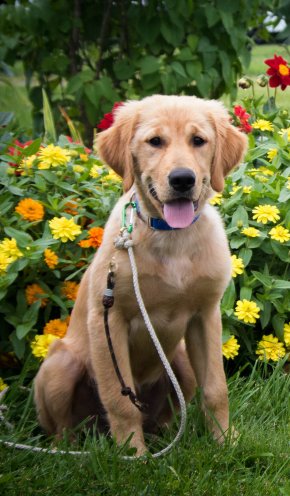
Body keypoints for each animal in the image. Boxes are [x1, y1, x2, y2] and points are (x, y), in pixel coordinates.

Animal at [34, 95, 247, 456]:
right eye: (155, 141)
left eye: (198, 140)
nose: (182, 179)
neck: (172, 238)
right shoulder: (108, 318)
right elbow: (120, 401)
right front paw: (134, 455)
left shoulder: (205, 315)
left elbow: (216, 389)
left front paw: (226, 443)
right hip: (60, 364)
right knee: (64, 428)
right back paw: (72, 451)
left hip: (181, 361)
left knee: (165, 415)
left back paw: (164, 437)